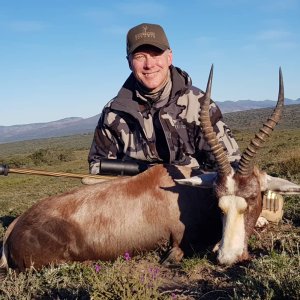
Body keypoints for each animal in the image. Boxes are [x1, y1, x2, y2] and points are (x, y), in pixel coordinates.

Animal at [0, 67, 300, 278]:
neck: (185, 191)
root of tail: (15, 227)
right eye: (219, 203)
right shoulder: (179, 244)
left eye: (252, 198)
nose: (228, 257)